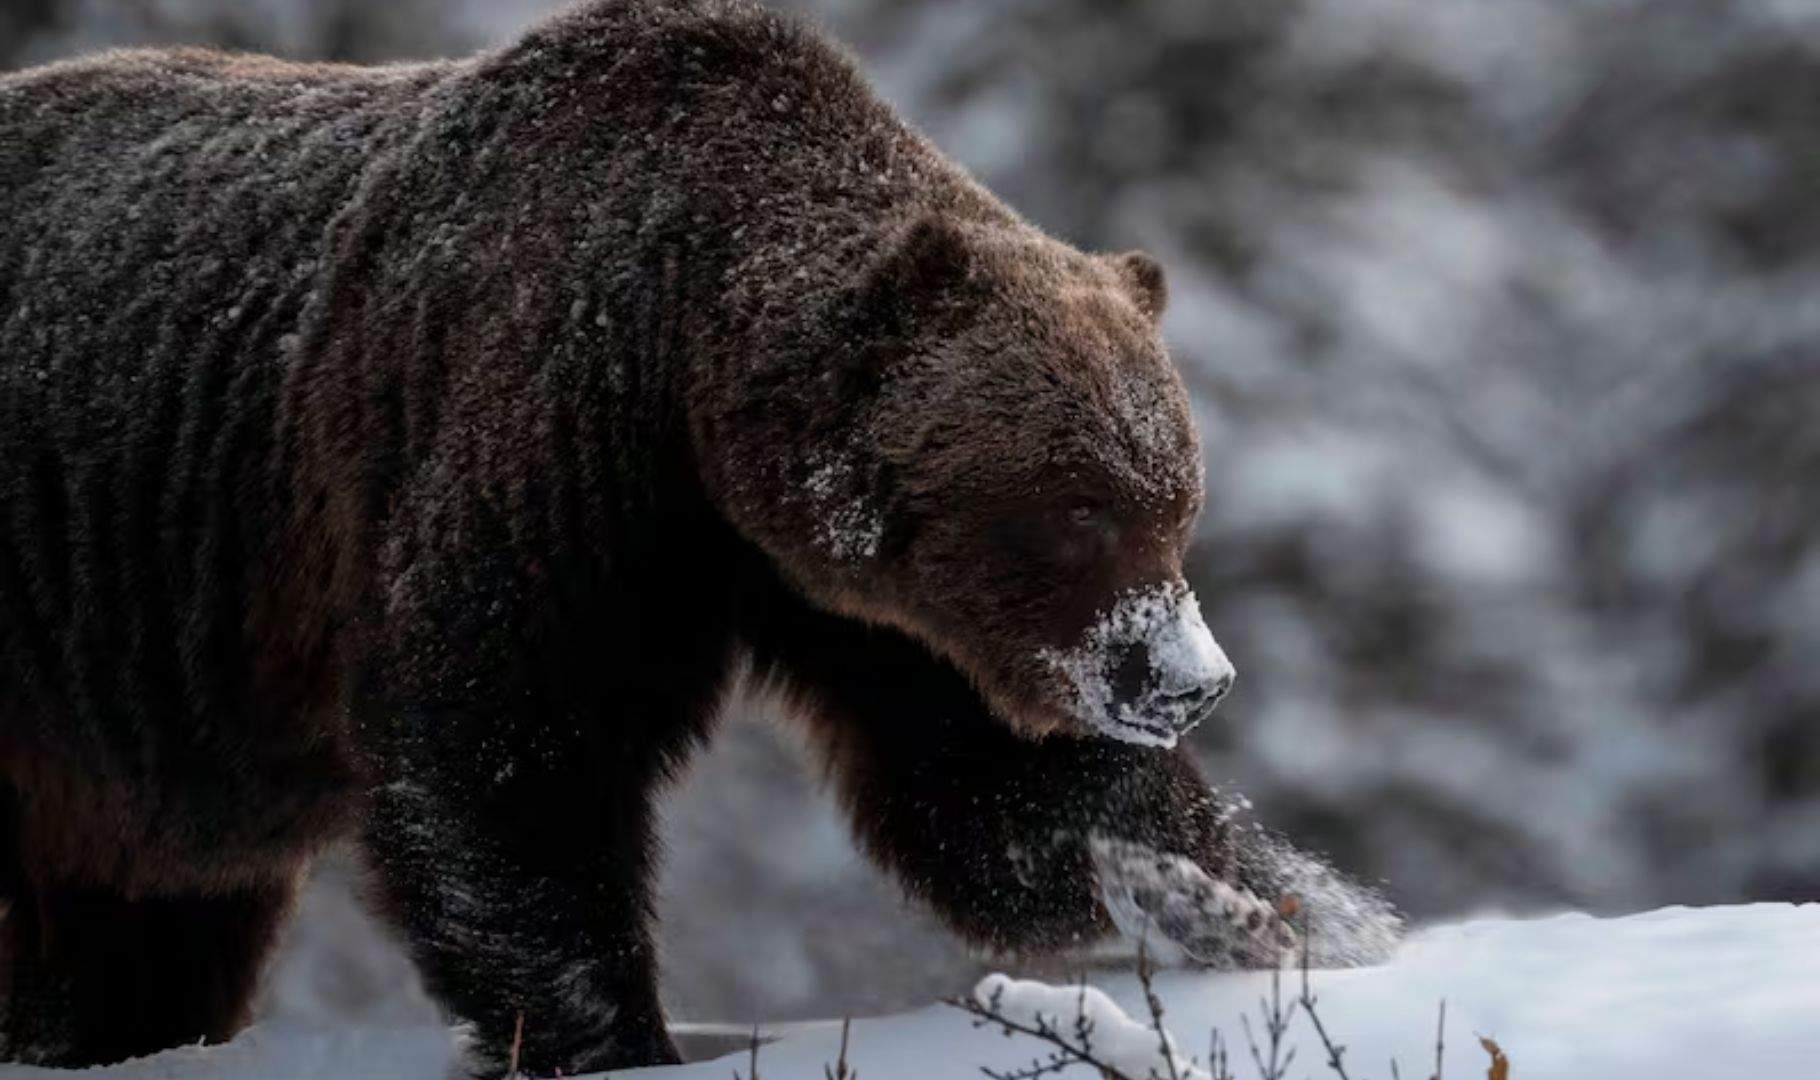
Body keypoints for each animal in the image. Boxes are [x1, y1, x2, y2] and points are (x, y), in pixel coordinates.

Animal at [0, 0, 1399, 1073]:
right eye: (1076, 509)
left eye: (1176, 502)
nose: (1187, 681)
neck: (685, 383)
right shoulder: (542, 456)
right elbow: (506, 751)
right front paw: (615, 1033)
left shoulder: (838, 596)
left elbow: (987, 789)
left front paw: (1253, 908)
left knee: (162, 928)